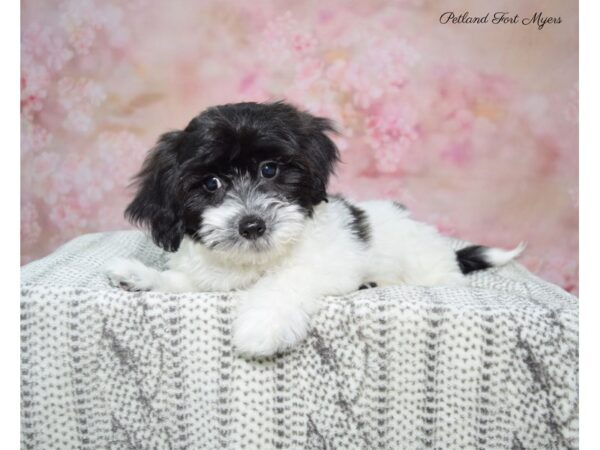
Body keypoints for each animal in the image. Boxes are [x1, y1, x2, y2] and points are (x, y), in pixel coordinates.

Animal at [108, 101, 524, 356]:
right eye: (210, 184)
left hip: (426, 267)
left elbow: (284, 282)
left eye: (270, 169)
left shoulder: (325, 262)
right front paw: (139, 276)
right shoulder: (209, 277)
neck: (258, 262)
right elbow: (185, 283)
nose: (252, 225)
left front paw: (261, 323)